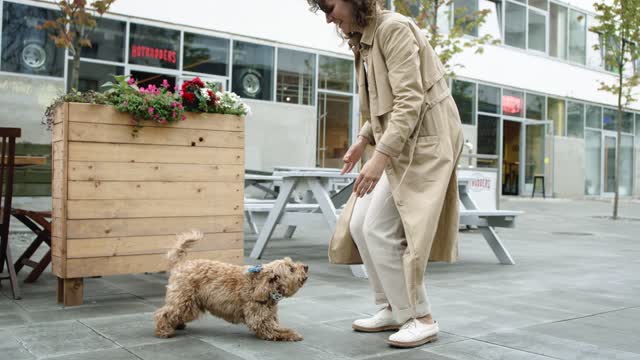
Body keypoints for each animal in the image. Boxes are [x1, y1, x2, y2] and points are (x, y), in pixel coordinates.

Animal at [152, 231, 308, 340]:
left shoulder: (269, 315)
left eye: (292, 263)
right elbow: (276, 330)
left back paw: (177, 325)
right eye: (291, 269)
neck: (261, 286)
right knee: (163, 313)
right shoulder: (260, 320)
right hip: (185, 301)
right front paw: (292, 334)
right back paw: (163, 331)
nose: (306, 266)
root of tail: (180, 264)